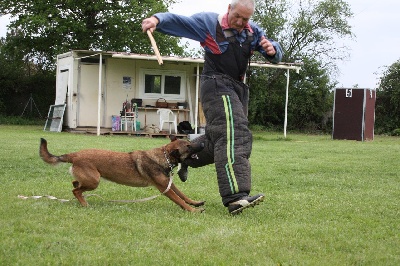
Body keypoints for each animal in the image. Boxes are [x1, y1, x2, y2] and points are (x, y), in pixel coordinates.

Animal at [39, 135, 205, 212]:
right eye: (189, 146)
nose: (203, 144)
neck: (163, 156)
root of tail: (74, 155)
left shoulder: (169, 184)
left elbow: (183, 195)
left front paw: (195, 203)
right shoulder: (165, 189)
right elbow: (179, 200)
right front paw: (193, 210)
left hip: (89, 180)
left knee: (75, 184)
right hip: (94, 181)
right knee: (76, 190)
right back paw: (85, 204)